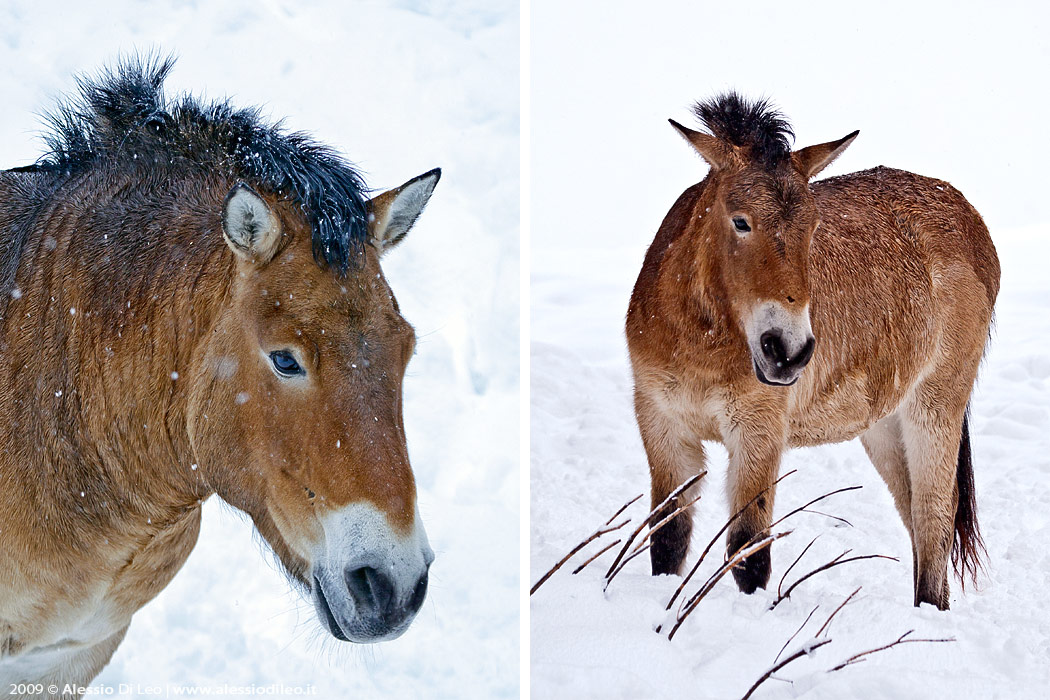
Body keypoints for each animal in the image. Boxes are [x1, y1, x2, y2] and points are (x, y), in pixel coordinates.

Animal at [625, 91, 995, 608]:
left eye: (815, 226)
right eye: (740, 221)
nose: (788, 350)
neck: (699, 341)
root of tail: (967, 214)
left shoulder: (757, 432)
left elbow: (749, 550)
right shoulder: (661, 424)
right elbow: (667, 540)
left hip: (935, 404)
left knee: (935, 515)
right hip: (883, 423)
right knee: (915, 518)